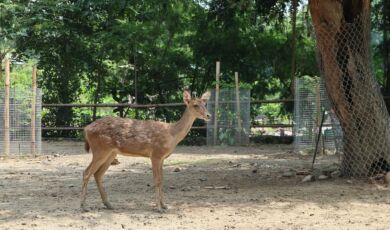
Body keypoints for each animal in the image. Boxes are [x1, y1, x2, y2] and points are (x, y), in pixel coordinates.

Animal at [80, 90, 212, 212]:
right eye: (195, 105)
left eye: (205, 103)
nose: (208, 115)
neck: (171, 134)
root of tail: (86, 129)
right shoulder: (156, 154)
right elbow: (157, 180)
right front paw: (158, 208)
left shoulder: (162, 157)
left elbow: (162, 180)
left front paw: (165, 205)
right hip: (100, 150)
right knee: (86, 172)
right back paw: (83, 206)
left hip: (111, 153)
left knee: (98, 174)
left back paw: (108, 204)